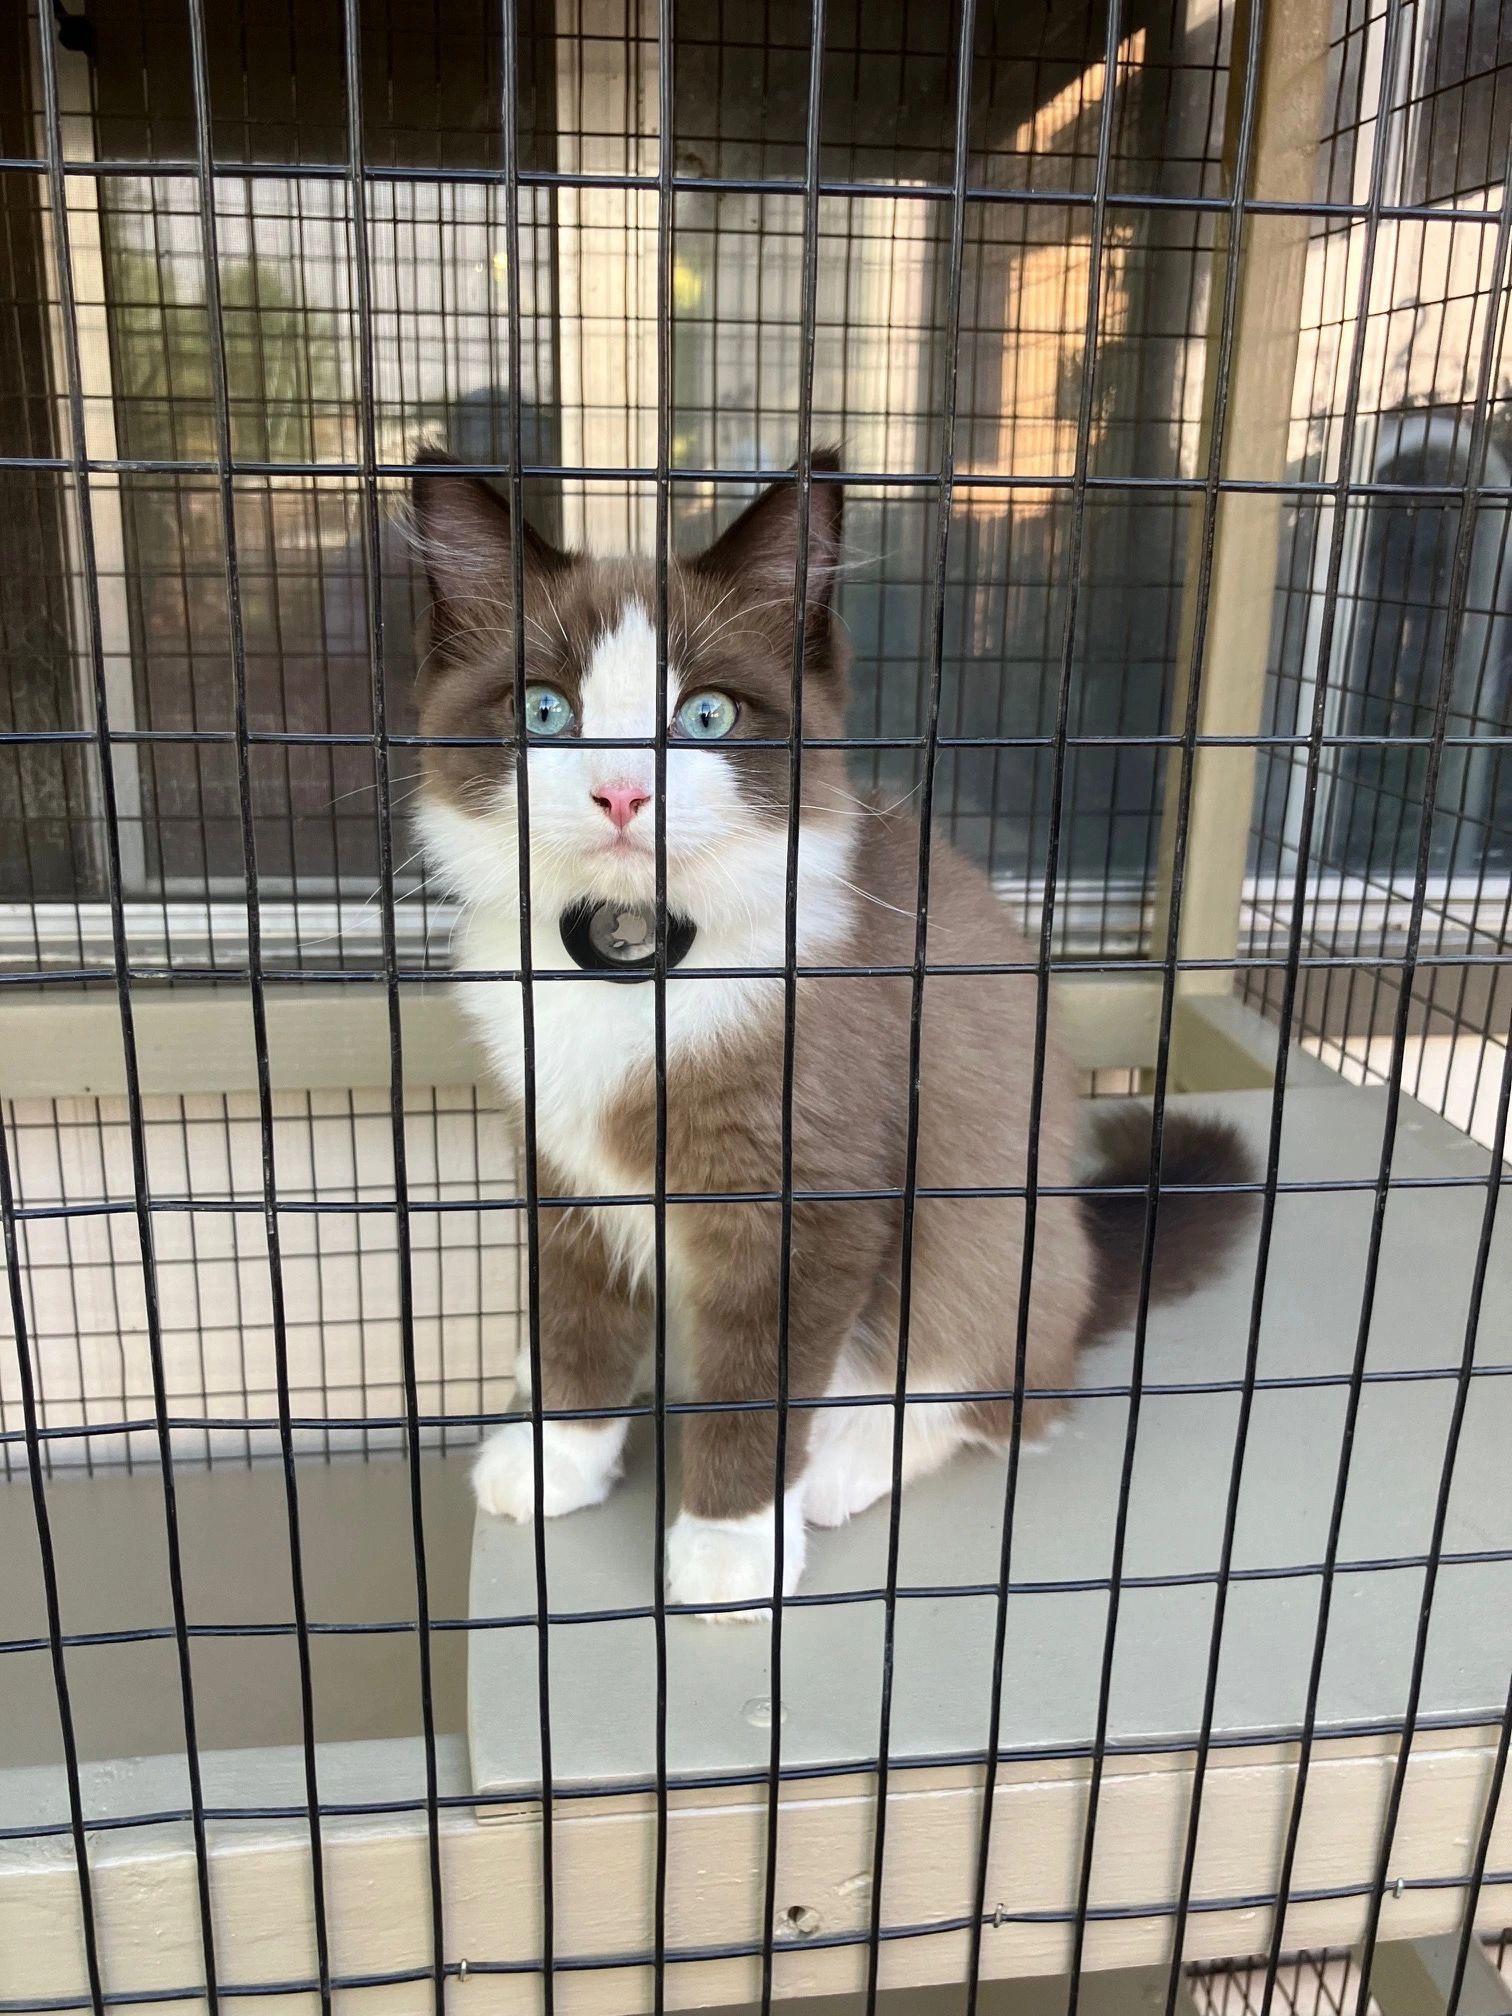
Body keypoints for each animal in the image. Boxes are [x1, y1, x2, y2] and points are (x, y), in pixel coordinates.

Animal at [409, 449, 1249, 1612]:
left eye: (706, 718)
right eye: (545, 710)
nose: (621, 793)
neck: (632, 961)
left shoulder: (806, 1196)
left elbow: (759, 1385)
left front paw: (729, 1548)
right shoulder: (555, 1156)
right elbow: (575, 1316)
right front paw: (556, 1457)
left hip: (992, 1241)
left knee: (998, 1395)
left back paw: (844, 1462)